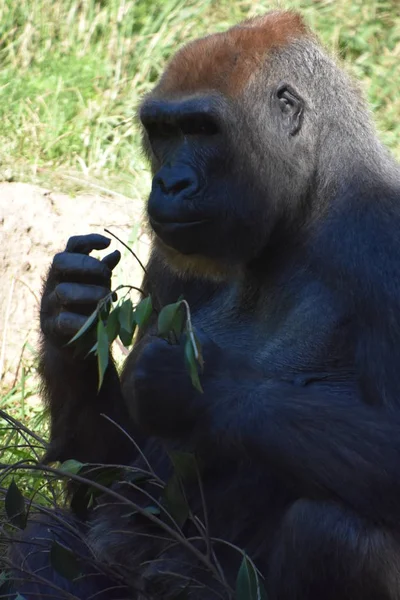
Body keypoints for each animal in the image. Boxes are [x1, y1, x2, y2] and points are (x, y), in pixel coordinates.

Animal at [6, 9, 400, 600]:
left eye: (202, 129)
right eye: (164, 132)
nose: (169, 182)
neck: (309, 204)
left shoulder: (382, 235)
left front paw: (192, 386)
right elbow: (105, 474)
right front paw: (67, 315)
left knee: (337, 530)